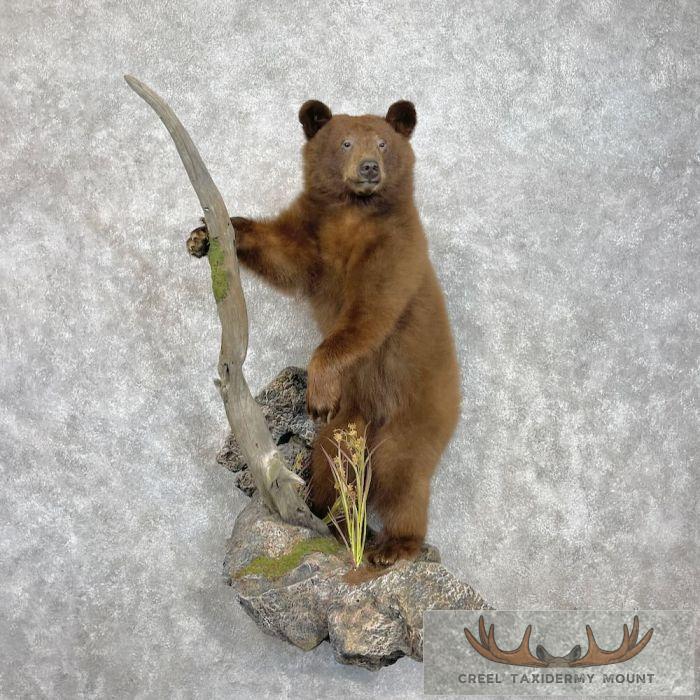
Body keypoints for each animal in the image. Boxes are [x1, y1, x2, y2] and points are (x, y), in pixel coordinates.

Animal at [187, 99, 460, 566]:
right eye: (345, 142)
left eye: (382, 143)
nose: (368, 167)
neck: (353, 212)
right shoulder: (315, 236)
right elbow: (284, 255)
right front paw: (206, 233)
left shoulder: (395, 249)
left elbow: (369, 314)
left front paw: (318, 391)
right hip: (351, 418)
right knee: (333, 458)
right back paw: (331, 515)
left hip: (416, 405)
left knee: (401, 471)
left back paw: (394, 545)